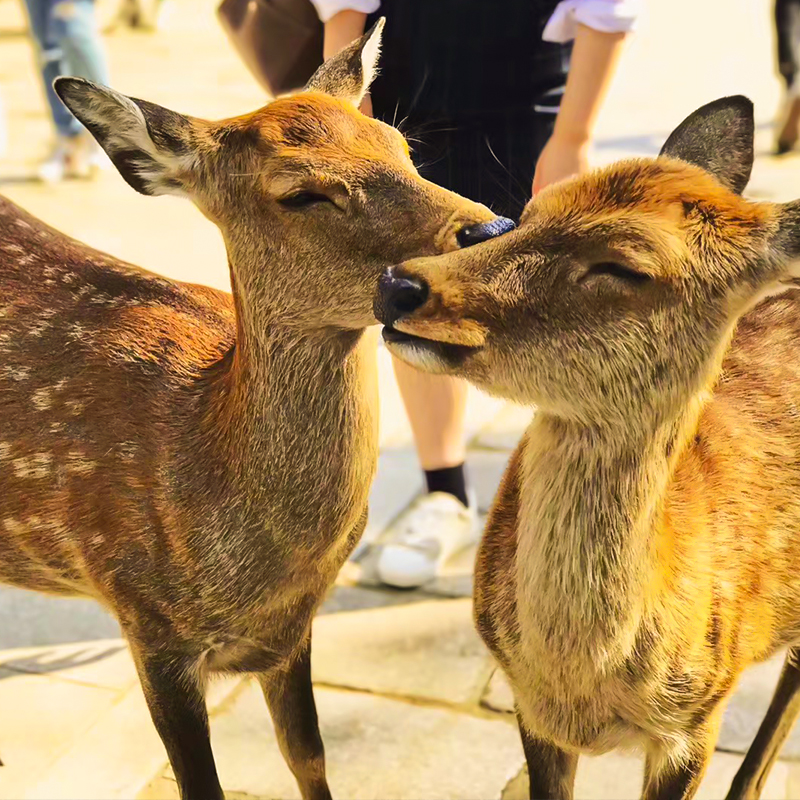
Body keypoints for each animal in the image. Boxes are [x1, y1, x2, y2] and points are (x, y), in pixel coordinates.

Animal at [0, 20, 510, 800]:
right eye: (301, 193)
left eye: (401, 145)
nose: (492, 230)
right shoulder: (148, 623)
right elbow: (202, 785)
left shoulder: (289, 630)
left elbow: (308, 753)